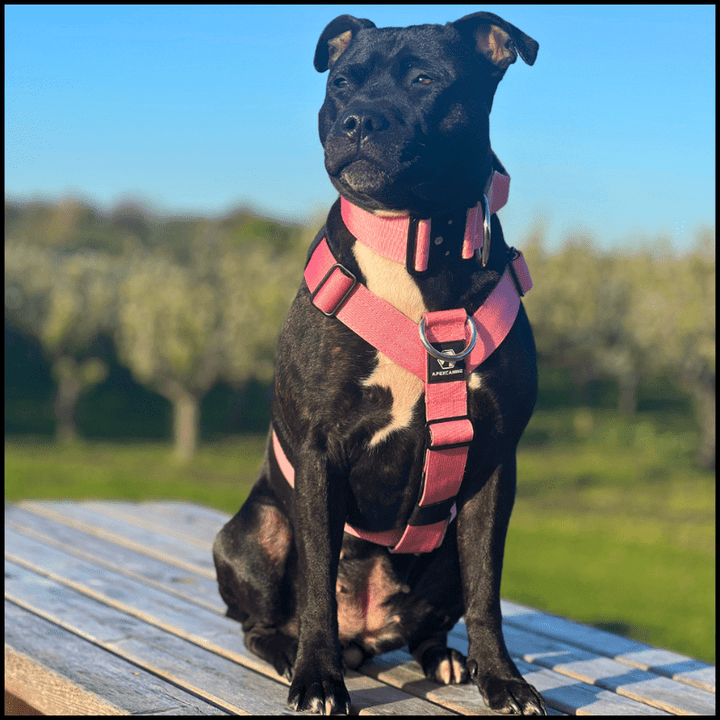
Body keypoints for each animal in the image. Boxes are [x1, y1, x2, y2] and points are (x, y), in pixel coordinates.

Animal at [217, 11, 544, 716]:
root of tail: (365, 633)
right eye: (342, 82)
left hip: (443, 546)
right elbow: (316, 586)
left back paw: (448, 660)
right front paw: (317, 678)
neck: (415, 238)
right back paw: (289, 652)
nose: (359, 120)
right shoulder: (319, 455)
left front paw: (502, 679)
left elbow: (488, 590)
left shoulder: (494, 464)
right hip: (255, 530)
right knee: (260, 620)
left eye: (425, 79)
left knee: (436, 619)